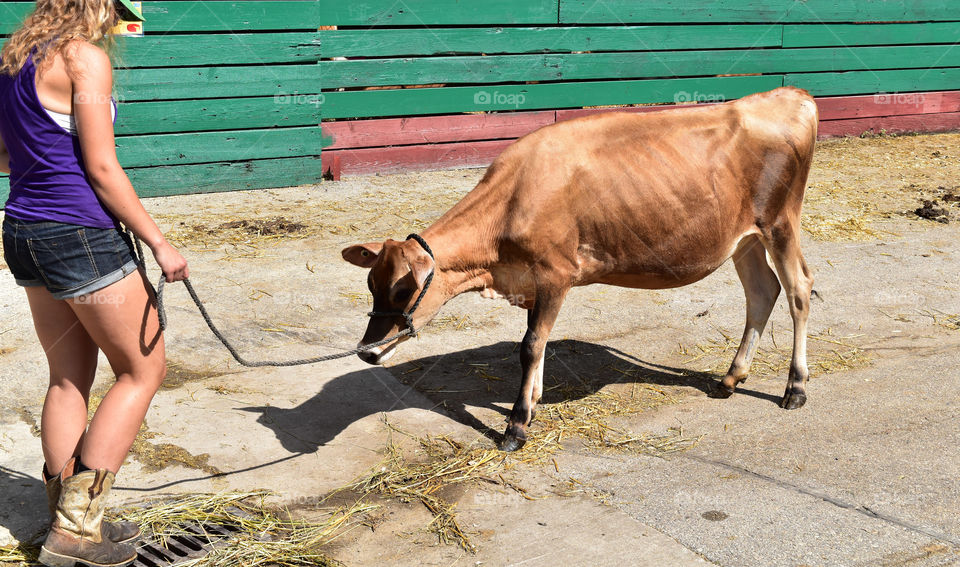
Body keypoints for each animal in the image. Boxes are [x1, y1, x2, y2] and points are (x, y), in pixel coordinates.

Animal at [344, 87, 816, 452]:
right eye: (371, 283)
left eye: (403, 290)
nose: (367, 351)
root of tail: (787, 95)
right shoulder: (533, 282)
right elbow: (538, 343)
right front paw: (533, 404)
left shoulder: (554, 273)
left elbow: (531, 345)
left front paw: (516, 425)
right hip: (744, 239)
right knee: (762, 293)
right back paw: (730, 379)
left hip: (780, 223)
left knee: (798, 290)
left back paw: (795, 388)